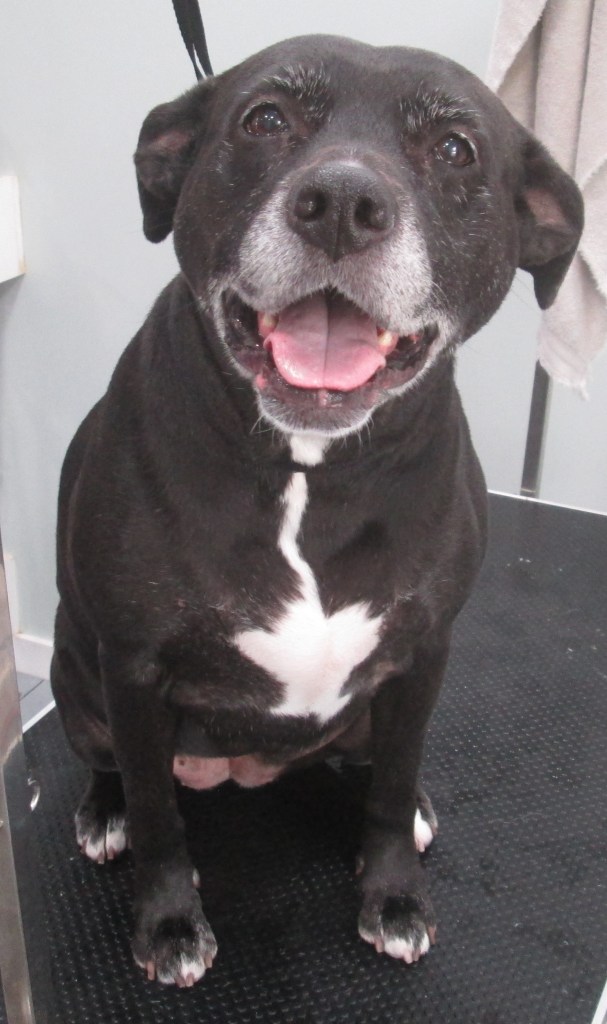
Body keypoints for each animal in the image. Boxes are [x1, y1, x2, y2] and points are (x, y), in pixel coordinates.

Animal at [51, 34, 583, 987]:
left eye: (455, 149)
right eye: (264, 119)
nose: (341, 205)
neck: (308, 467)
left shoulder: (421, 655)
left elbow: (390, 789)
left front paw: (393, 893)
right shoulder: (135, 670)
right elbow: (157, 816)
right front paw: (168, 921)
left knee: (370, 771)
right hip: (78, 681)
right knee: (118, 771)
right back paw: (103, 812)